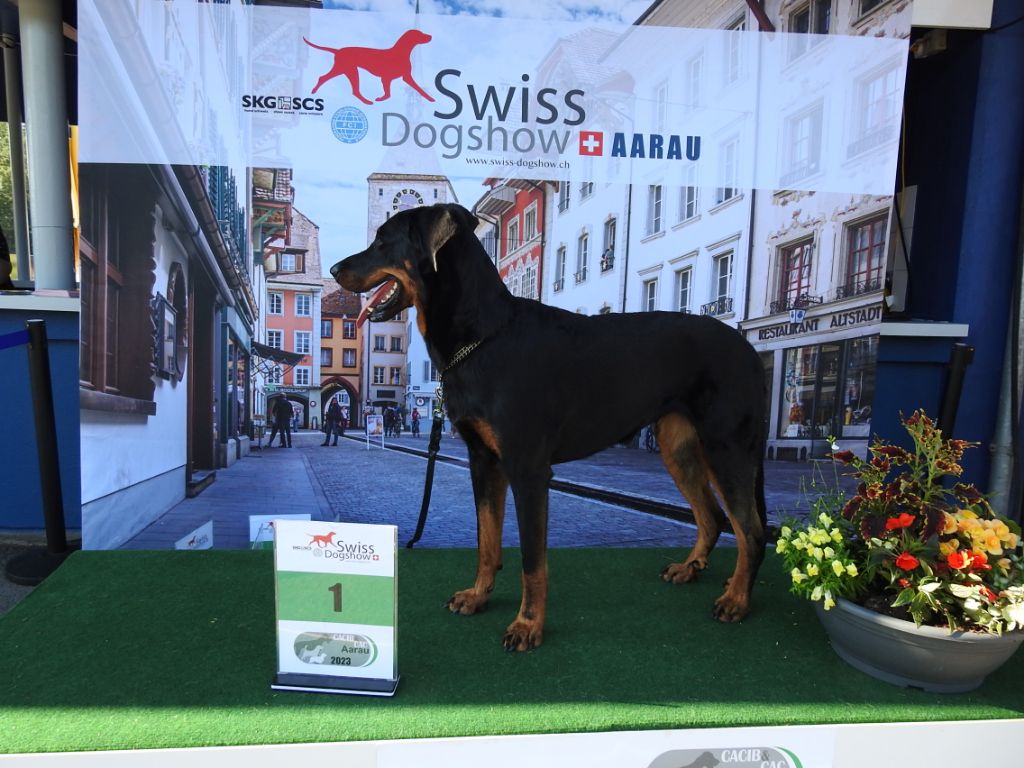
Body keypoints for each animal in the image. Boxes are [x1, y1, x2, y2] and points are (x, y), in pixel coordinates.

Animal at [303, 30, 435, 105]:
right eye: (420, 34)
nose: (430, 36)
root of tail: (338, 50)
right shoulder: (386, 78)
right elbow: (388, 94)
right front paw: (381, 99)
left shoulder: (405, 77)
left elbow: (419, 89)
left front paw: (430, 98)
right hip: (347, 69)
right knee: (328, 79)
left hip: (346, 70)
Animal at [331, 204, 767, 651]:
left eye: (384, 240)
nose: (334, 270)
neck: (484, 335)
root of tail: (750, 349)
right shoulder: (483, 462)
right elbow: (486, 540)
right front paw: (478, 596)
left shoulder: (527, 471)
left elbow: (531, 559)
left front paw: (527, 625)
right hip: (678, 447)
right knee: (713, 517)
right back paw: (690, 569)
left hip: (727, 447)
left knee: (751, 531)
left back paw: (736, 599)